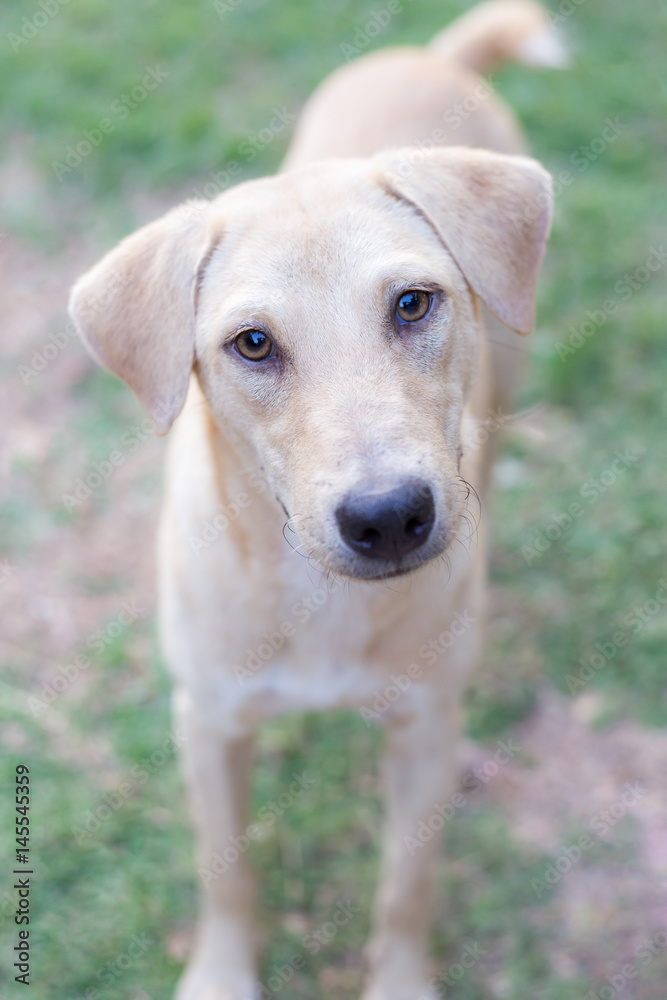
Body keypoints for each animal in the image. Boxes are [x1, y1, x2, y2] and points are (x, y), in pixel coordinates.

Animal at [69, 1, 560, 1000]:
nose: (388, 517)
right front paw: (221, 975)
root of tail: (428, 57)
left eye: (412, 303)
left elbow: (404, 888)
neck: (319, 597)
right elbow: (225, 872)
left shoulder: (426, 729)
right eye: (252, 344)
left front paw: (400, 982)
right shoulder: (208, 722)